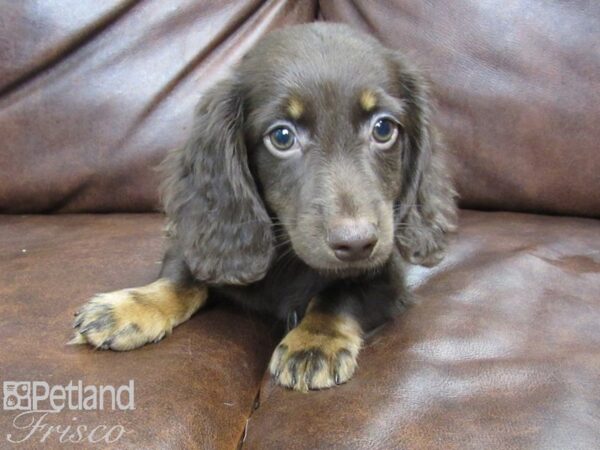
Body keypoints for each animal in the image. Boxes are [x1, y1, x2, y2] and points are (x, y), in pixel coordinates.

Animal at [71, 22, 454, 392]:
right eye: (281, 137)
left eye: (384, 128)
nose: (358, 243)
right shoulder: (199, 247)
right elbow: (182, 277)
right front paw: (131, 306)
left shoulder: (387, 276)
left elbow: (340, 294)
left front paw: (314, 341)